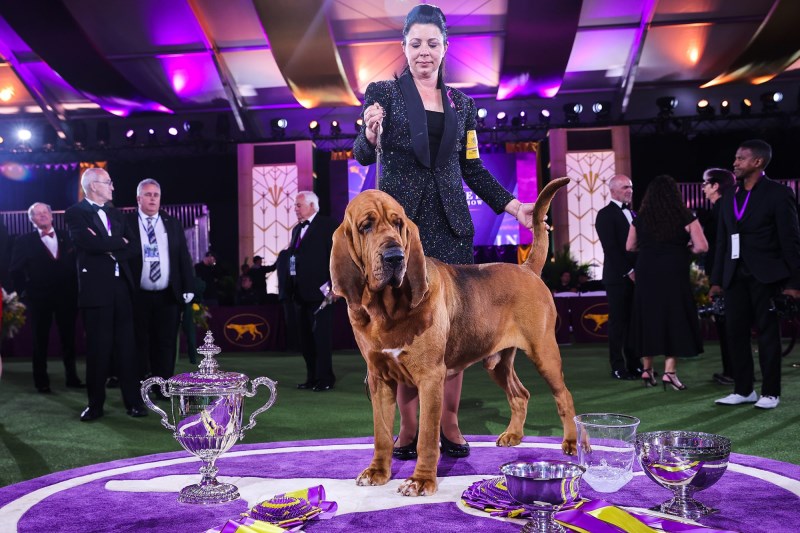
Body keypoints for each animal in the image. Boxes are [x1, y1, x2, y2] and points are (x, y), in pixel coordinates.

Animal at [332, 178, 576, 494]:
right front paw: (377, 472)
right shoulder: (379, 378)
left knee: (564, 396)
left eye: (398, 224)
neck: (387, 309)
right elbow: (382, 434)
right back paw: (513, 435)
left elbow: (426, 437)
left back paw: (572, 443)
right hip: (497, 362)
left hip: (544, 353)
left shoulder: (430, 378)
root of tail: (527, 268)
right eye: (366, 226)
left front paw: (421, 480)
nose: (395, 257)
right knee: (520, 394)